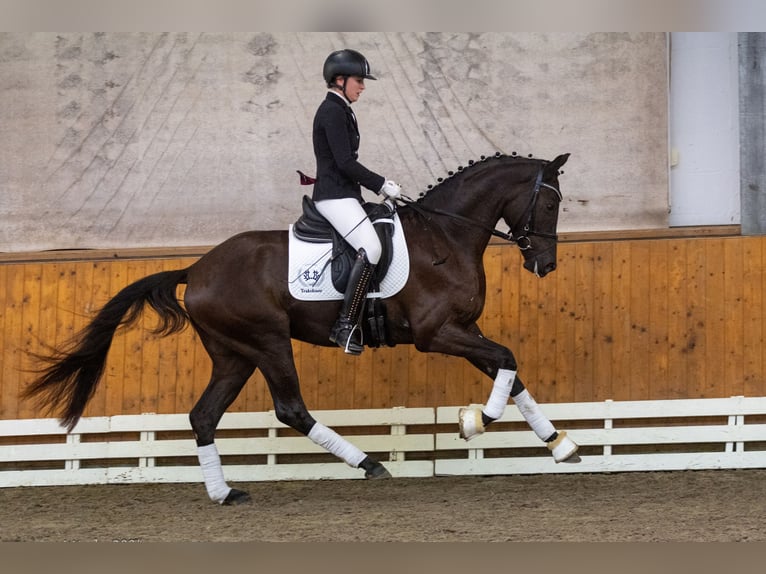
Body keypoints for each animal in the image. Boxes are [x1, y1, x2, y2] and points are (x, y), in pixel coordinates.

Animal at [24, 151, 580, 506]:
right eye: (551, 203)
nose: (547, 264)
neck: (445, 234)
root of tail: (197, 268)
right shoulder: (436, 333)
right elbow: (507, 361)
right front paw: (473, 421)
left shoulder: (464, 328)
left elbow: (511, 372)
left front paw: (560, 444)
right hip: (267, 342)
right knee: (290, 408)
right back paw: (368, 463)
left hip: (234, 354)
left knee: (204, 416)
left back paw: (224, 493)